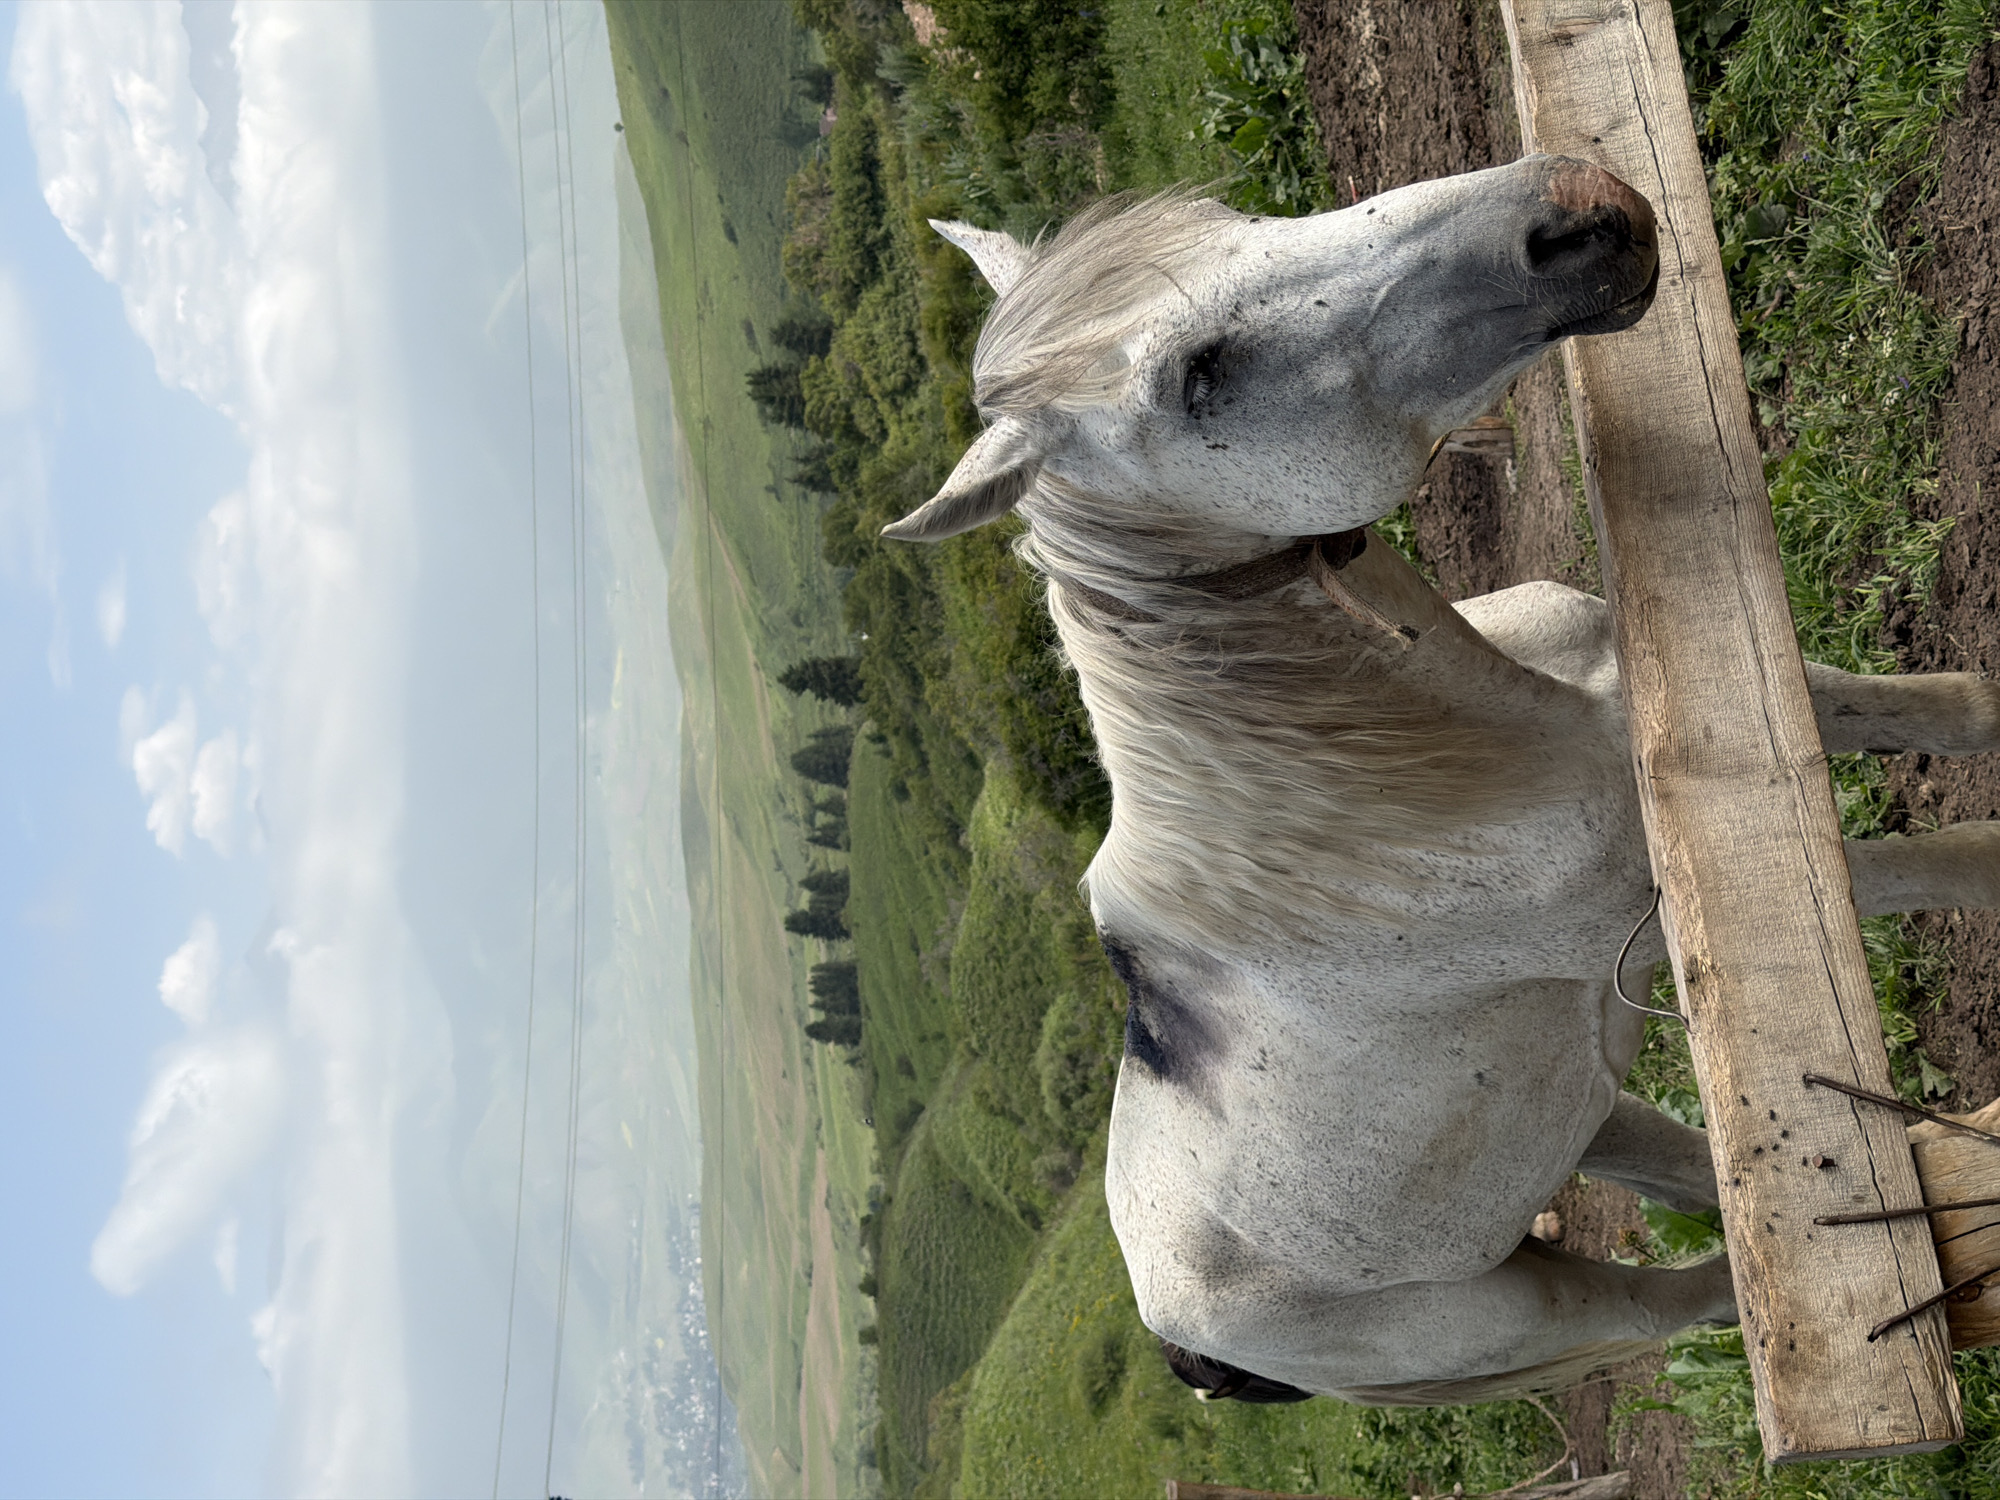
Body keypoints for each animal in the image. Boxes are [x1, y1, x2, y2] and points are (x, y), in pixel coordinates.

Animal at [880, 155, 2000, 1404]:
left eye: (1226, 216)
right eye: (1196, 378)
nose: (1574, 210)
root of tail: (1181, 1338)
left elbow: (1948, 710)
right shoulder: (1672, 902)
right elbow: (1961, 860)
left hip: (1577, 1117)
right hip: (1529, 1306)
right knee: (1704, 1294)